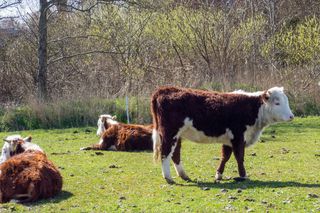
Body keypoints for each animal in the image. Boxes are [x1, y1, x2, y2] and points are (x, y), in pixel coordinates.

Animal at [151, 85, 294, 184]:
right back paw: (169, 178)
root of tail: (165, 89)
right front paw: (243, 175)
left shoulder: (229, 139)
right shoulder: (238, 136)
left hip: (178, 135)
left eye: (286, 101)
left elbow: (225, 156)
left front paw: (218, 174)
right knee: (165, 153)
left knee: (175, 154)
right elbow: (239, 157)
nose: (291, 116)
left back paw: (184, 175)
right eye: (277, 103)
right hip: (169, 134)